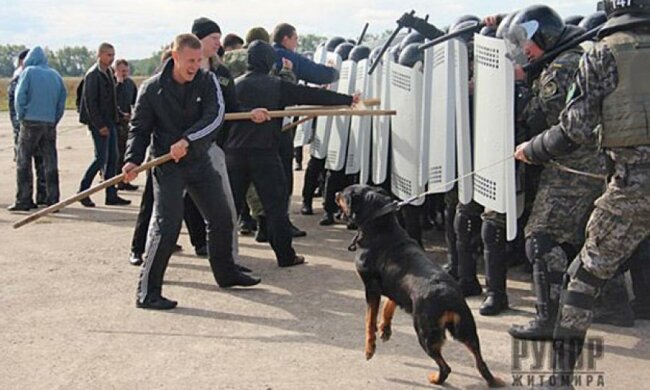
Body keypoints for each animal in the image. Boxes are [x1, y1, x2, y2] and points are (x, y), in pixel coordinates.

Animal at [336, 185, 504, 386]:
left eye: (345, 195)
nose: (336, 194)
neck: (381, 226)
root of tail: (448, 297)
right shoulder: (396, 287)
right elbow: (389, 305)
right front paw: (385, 328)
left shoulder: (371, 288)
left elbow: (369, 319)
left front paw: (370, 348)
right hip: (466, 330)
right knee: (480, 362)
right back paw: (492, 379)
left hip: (425, 332)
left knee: (446, 366)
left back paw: (436, 379)